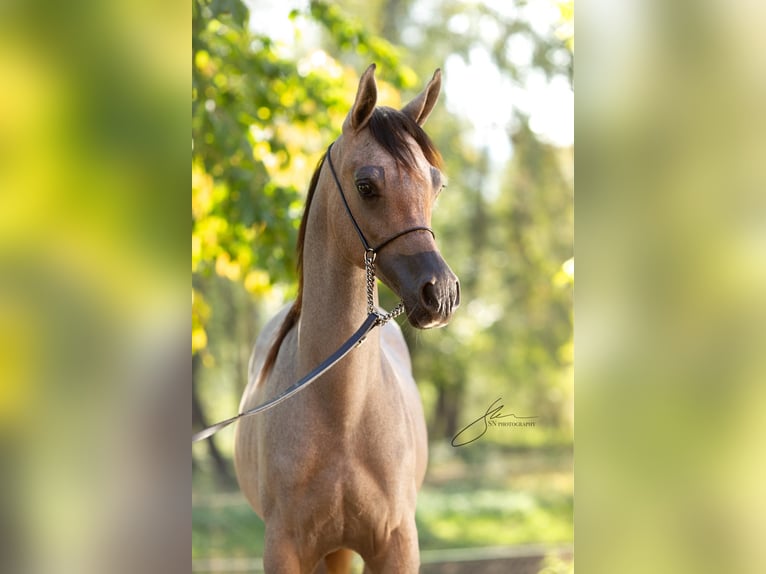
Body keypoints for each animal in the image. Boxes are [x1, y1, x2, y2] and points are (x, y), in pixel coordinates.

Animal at [234, 65, 462, 572]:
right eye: (366, 185)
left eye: (436, 184)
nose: (440, 293)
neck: (341, 417)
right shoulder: (284, 549)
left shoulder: (397, 545)